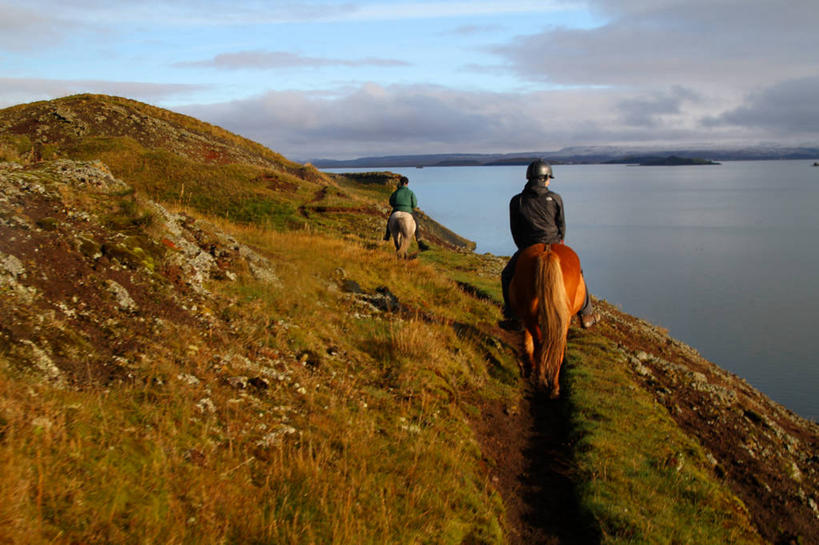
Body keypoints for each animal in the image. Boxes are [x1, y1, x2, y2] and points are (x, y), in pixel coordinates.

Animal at [510, 244, 588, 398]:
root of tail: (548, 251)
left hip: (532, 313)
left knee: (544, 342)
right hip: (561, 318)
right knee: (553, 345)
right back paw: (550, 385)